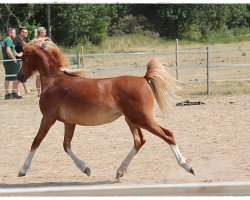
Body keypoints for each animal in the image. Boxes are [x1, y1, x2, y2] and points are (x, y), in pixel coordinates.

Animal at [16, 41, 194, 179]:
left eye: (24, 57)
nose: (19, 76)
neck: (54, 82)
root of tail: (144, 78)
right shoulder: (69, 122)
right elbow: (66, 146)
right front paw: (86, 169)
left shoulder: (48, 118)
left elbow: (36, 141)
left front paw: (23, 170)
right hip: (131, 119)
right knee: (139, 141)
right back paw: (119, 171)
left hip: (142, 118)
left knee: (167, 134)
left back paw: (187, 166)